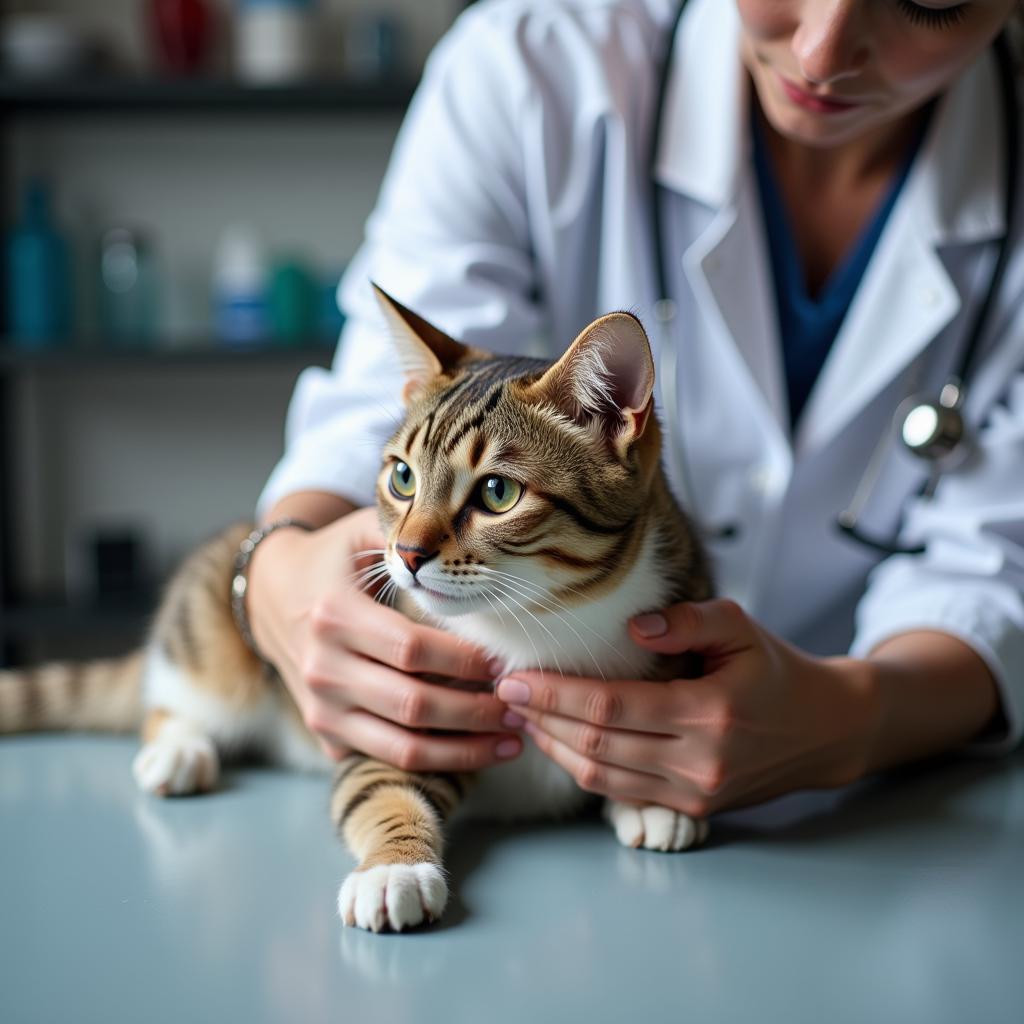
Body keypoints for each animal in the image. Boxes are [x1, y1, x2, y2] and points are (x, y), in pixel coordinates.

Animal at [0, 284, 712, 933]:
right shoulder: (392, 726)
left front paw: (647, 796)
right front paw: (395, 870)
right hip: (207, 638)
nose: (408, 554)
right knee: (170, 696)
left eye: (497, 493)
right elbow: (382, 790)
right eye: (402, 477)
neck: (544, 621)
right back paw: (179, 750)